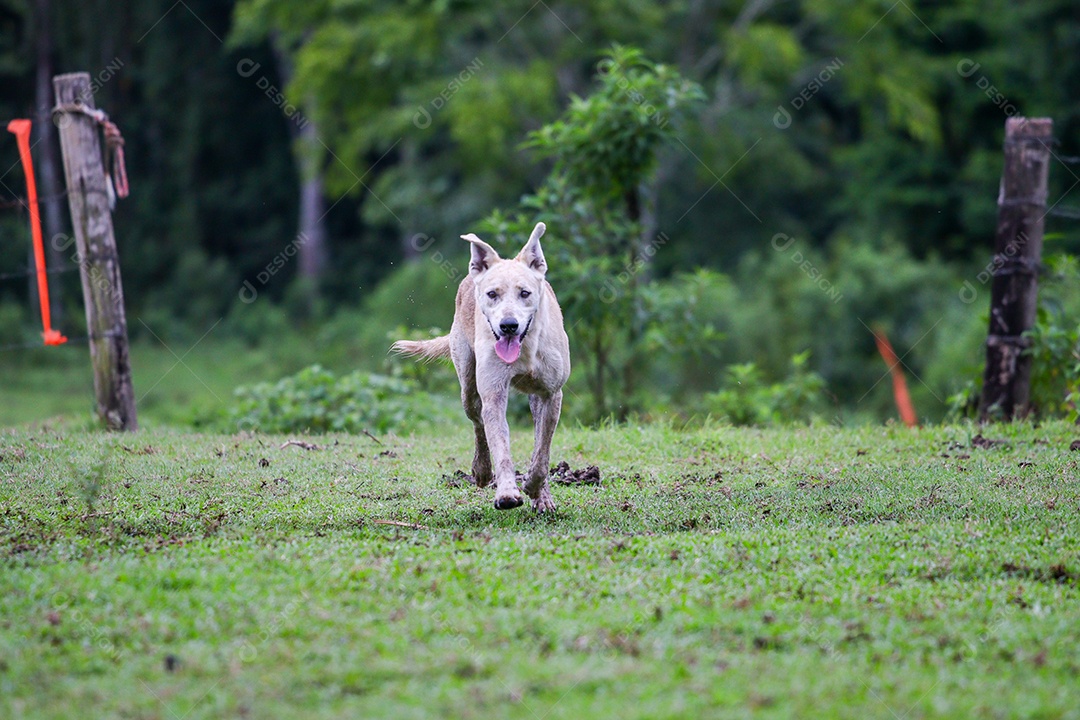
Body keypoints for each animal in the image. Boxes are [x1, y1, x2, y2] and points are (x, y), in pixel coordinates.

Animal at [390, 222, 574, 509]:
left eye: (525, 293)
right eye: (492, 294)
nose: (508, 325)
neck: (526, 348)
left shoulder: (551, 393)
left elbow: (542, 450)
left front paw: (535, 486)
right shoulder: (493, 391)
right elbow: (500, 444)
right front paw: (507, 493)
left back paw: (541, 495)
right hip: (467, 378)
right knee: (477, 421)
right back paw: (482, 470)